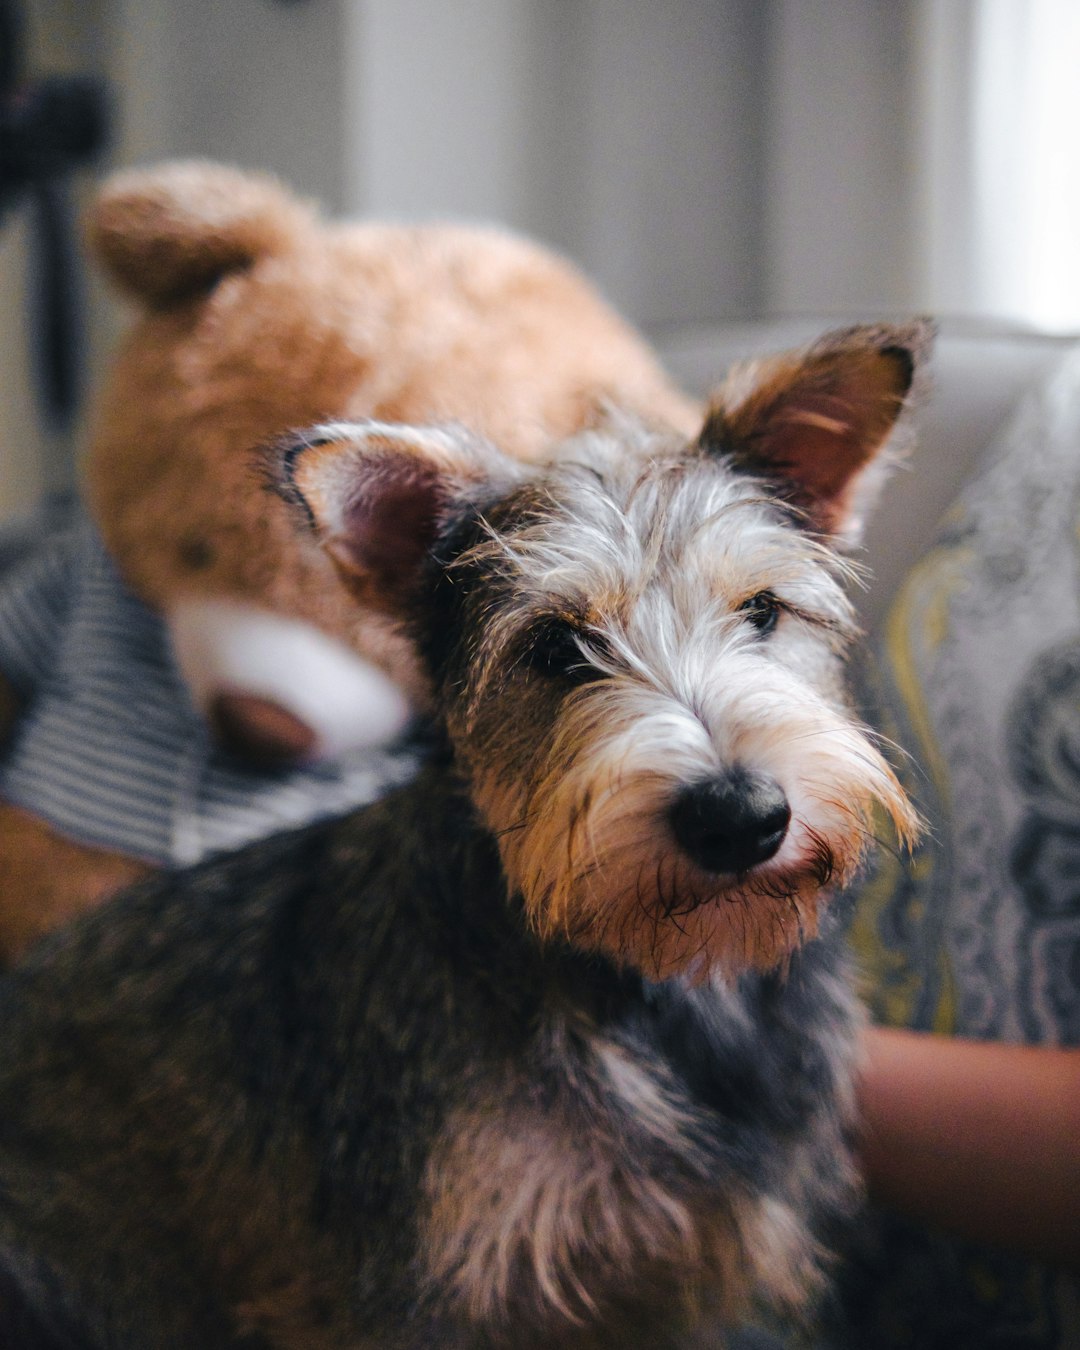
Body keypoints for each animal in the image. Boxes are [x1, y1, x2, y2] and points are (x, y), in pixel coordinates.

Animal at [0, 321, 928, 1344]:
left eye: (762, 610)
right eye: (556, 647)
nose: (740, 815)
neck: (656, 991)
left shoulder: (710, 1275)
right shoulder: (423, 1291)